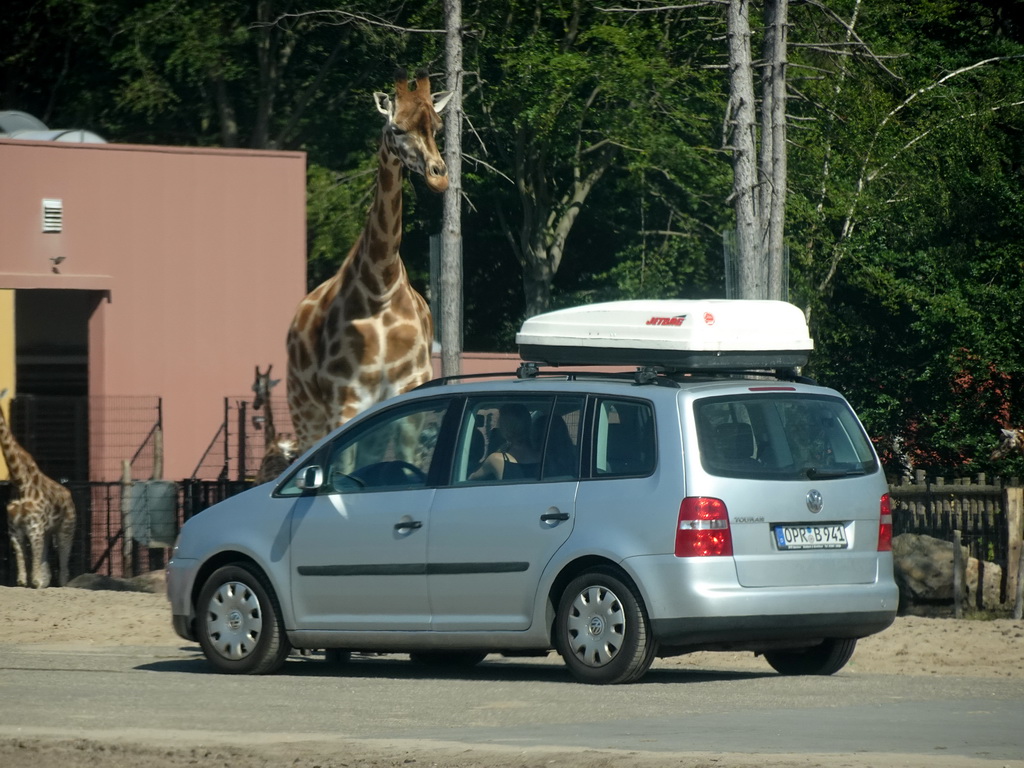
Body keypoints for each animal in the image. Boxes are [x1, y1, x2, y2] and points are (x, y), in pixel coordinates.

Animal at [0, 391, 75, 589]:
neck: (20, 483)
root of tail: (68, 495)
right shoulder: (15, 529)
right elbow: (23, 570)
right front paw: (26, 581)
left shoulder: (34, 528)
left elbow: (34, 573)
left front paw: (35, 581)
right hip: (47, 532)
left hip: (66, 529)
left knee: (64, 566)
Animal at [284, 67, 452, 450]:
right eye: (397, 129)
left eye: (437, 127)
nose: (440, 177)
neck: (382, 289)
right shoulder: (346, 399)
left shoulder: (409, 395)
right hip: (304, 411)